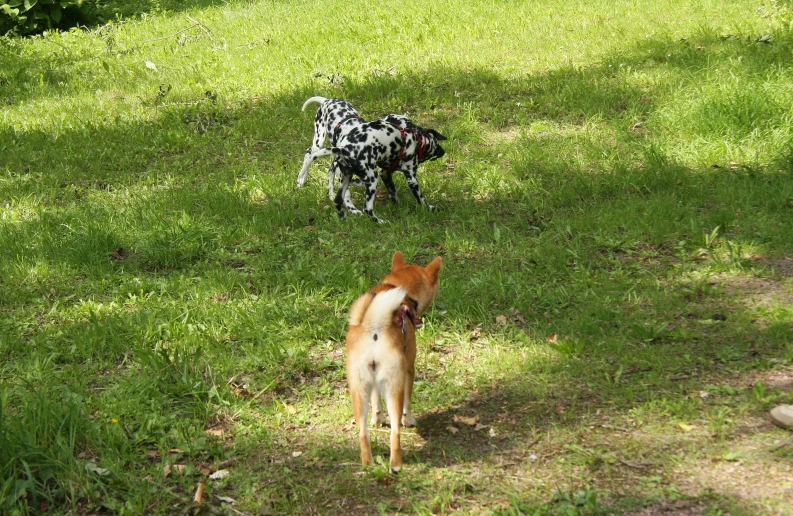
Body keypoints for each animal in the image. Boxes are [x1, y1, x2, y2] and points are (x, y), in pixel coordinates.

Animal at [310, 121, 446, 224]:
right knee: (367, 209)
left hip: (346, 179)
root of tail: (345, 149)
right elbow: (421, 198)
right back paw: (380, 222)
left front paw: (398, 206)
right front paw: (428, 208)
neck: (417, 141)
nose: (442, 151)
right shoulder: (412, 179)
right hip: (372, 180)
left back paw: (344, 218)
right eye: (437, 144)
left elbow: (393, 193)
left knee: (338, 201)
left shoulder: (385, 174)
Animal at [344, 252, 442, 474]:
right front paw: (409, 420)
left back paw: (368, 464)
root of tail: (374, 327)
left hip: (359, 391)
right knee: (395, 433)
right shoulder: (409, 370)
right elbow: (408, 404)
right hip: (394, 387)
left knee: (363, 433)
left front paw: (378, 419)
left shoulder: (373, 386)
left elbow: (376, 403)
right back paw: (396, 465)